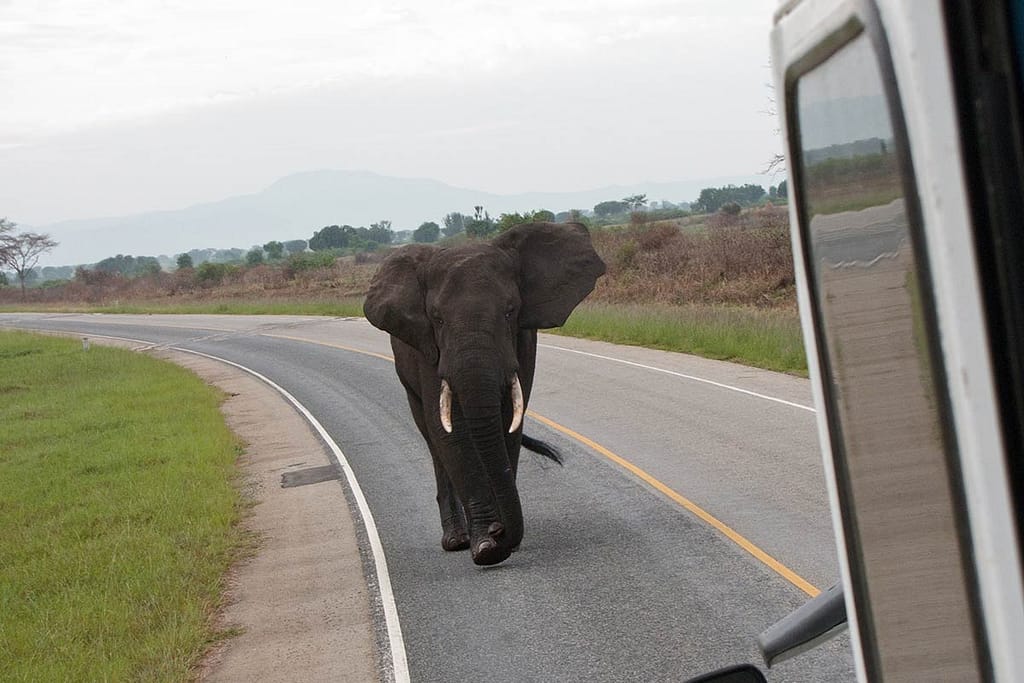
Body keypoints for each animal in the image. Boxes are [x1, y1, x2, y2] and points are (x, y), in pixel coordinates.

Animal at [364, 222, 605, 566]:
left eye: (510, 311)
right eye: (437, 318)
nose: (498, 533)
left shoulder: (523, 339)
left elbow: (508, 422)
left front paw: (501, 540)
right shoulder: (429, 348)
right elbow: (449, 434)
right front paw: (486, 546)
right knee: (433, 441)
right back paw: (456, 539)